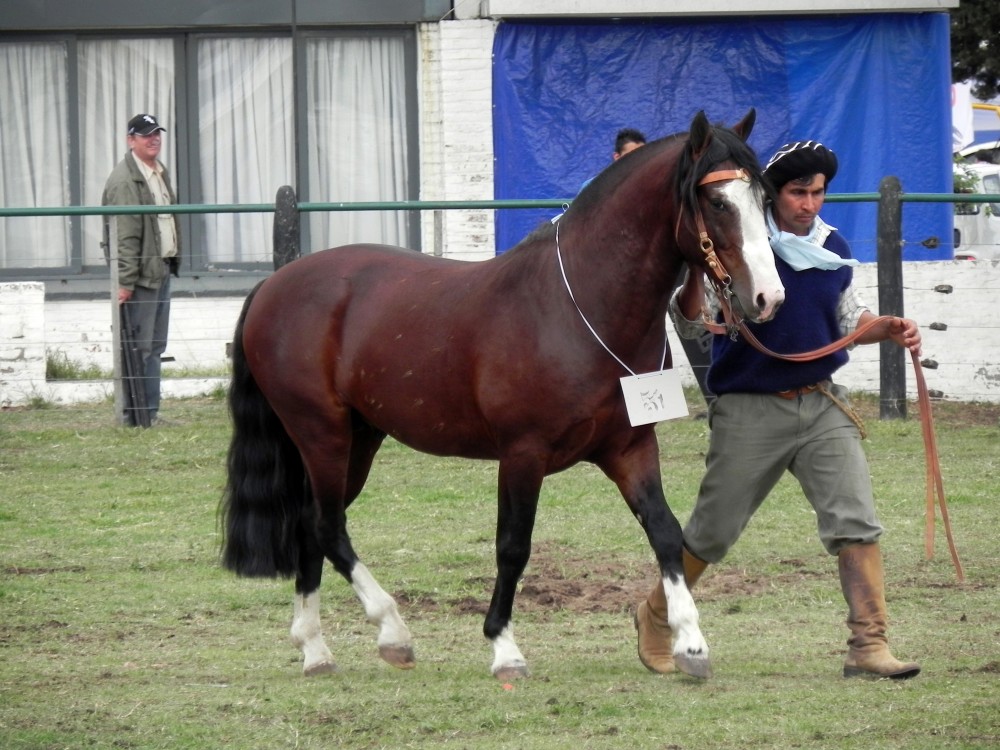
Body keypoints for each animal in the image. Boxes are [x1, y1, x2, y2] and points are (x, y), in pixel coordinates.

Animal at [223, 110, 784, 680]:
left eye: (762, 198)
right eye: (717, 202)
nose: (768, 297)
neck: (577, 307)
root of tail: (274, 285)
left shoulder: (630, 449)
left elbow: (667, 532)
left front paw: (690, 643)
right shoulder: (522, 454)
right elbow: (513, 546)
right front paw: (504, 648)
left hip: (358, 439)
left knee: (310, 526)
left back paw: (315, 648)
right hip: (323, 435)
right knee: (328, 525)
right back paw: (392, 631)